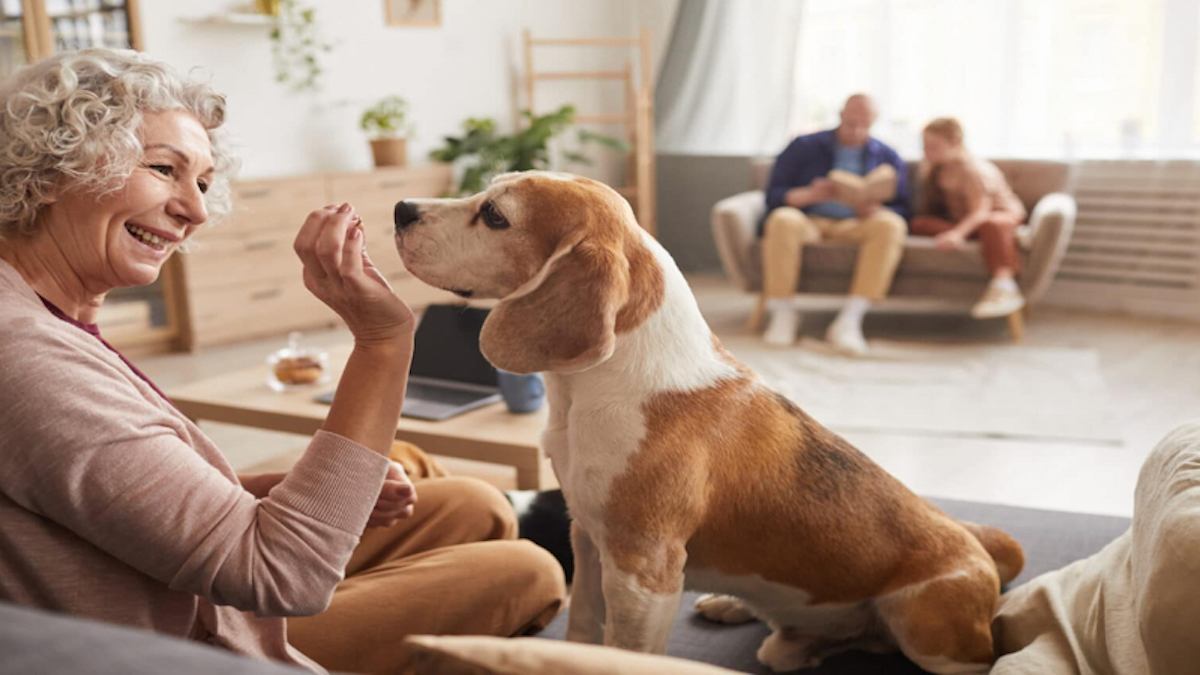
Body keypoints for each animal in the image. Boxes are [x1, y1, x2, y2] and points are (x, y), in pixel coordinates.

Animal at [391, 170, 1022, 667]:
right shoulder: (589, 539)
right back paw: (756, 619)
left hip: (926, 627)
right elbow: (584, 629)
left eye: (495, 215)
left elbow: (626, 652)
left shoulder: (644, 572)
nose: (400, 209)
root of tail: (972, 544)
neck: (592, 389)